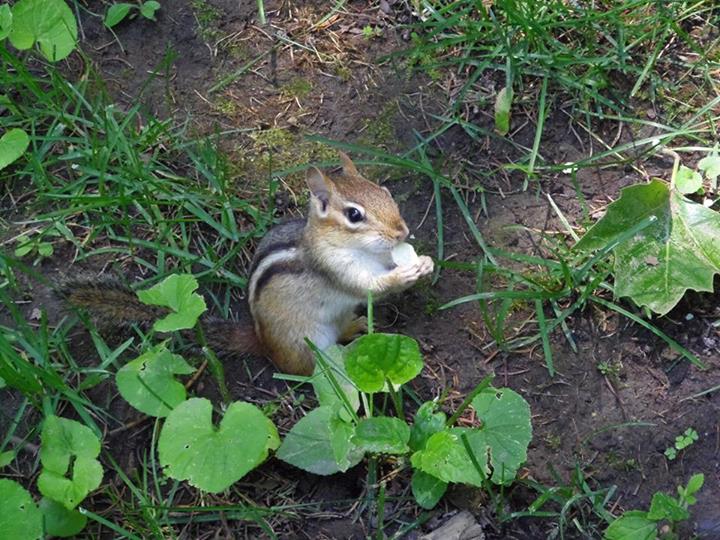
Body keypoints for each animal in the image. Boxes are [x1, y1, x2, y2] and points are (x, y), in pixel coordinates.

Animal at [60, 152, 434, 375]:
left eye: (384, 191)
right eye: (355, 215)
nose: (402, 231)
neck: (361, 250)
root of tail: (261, 341)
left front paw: (425, 262)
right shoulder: (334, 268)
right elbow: (369, 286)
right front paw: (406, 273)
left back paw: (355, 327)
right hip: (307, 345)